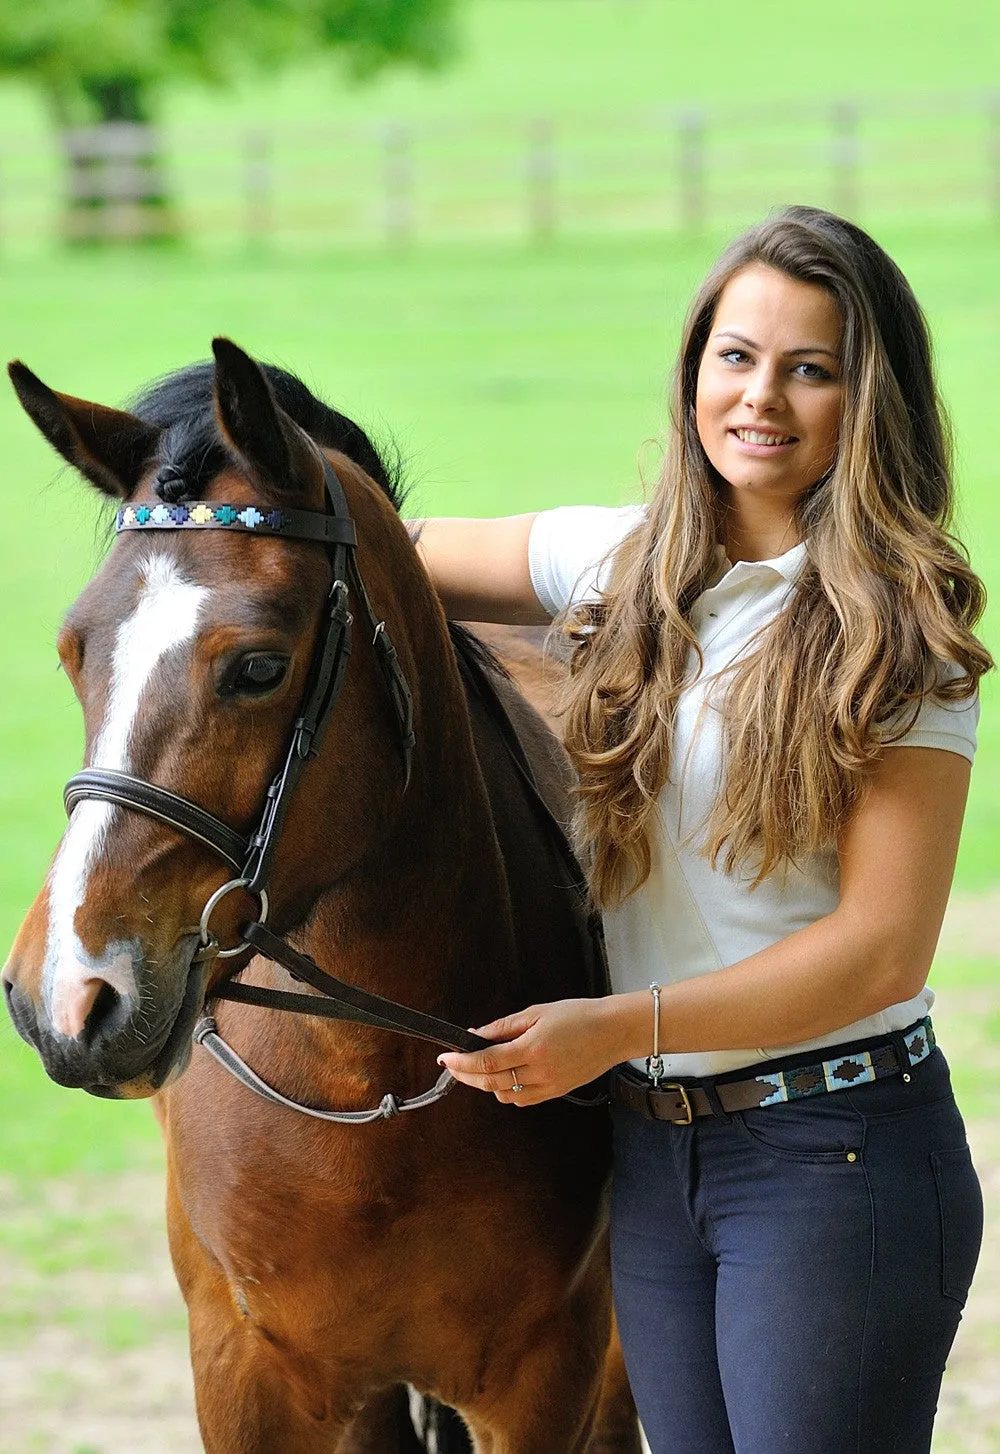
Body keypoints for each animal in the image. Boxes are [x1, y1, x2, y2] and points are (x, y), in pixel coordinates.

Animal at [3, 343, 636, 1454]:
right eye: (76, 650)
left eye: (259, 667)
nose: (66, 997)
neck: (365, 1075)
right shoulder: (243, 1375)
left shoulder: (546, 1379)